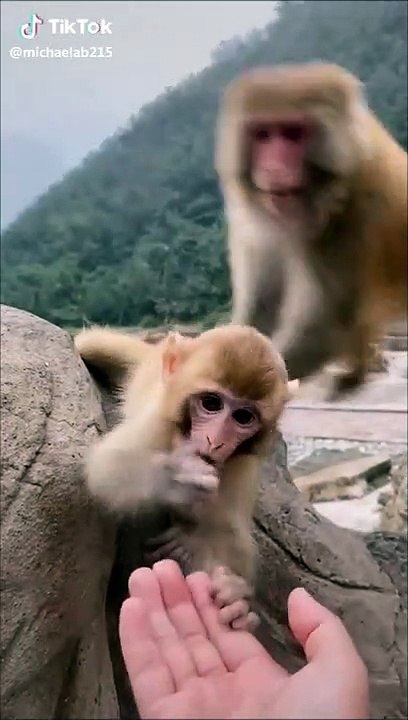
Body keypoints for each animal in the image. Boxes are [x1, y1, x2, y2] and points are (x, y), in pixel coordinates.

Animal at [74, 324, 296, 632]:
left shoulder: (241, 465)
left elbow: (232, 536)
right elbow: (108, 467)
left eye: (243, 417)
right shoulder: (159, 424)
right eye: (211, 403)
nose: (215, 441)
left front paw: (233, 598)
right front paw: (178, 477)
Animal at [215, 61, 407, 397]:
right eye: (263, 135)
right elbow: (262, 305)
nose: (274, 168)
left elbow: (324, 323)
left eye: (292, 134)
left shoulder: (352, 214)